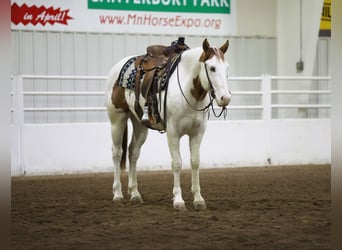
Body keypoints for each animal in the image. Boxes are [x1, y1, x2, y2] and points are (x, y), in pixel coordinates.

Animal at [105, 38, 231, 211]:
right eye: (212, 68)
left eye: (227, 68)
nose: (225, 98)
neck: (189, 91)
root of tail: (118, 67)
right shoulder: (173, 133)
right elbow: (177, 163)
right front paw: (178, 200)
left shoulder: (197, 132)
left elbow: (195, 162)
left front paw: (198, 199)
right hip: (117, 119)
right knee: (117, 153)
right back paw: (117, 194)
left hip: (139, 124)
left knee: (133, 153)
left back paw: (135, 193)